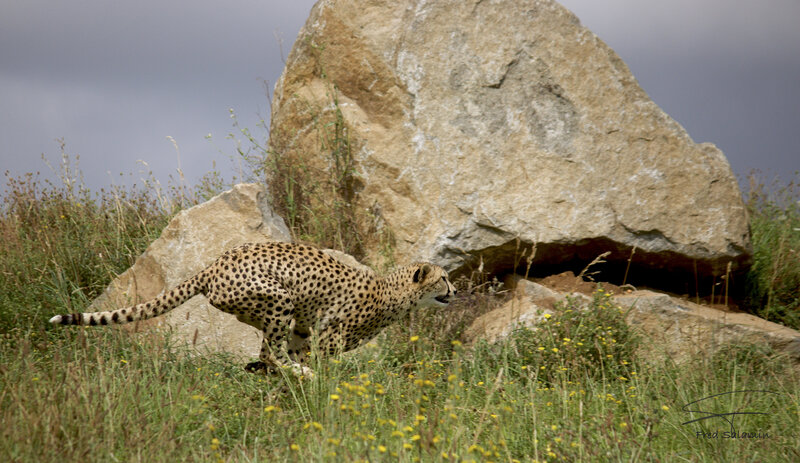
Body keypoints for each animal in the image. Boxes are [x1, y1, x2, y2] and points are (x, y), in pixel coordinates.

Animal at [49, 241, 457, 378]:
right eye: (444, 278)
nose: (455, 290)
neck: (391, 292)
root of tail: (214, 264)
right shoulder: (326, 337)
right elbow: (321, 364)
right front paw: (320, 382)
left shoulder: (307, 331)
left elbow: (297, 350)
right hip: (279, 300)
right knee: (271, 351)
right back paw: (296, 373)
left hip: (280, 312)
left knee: (270, 351)